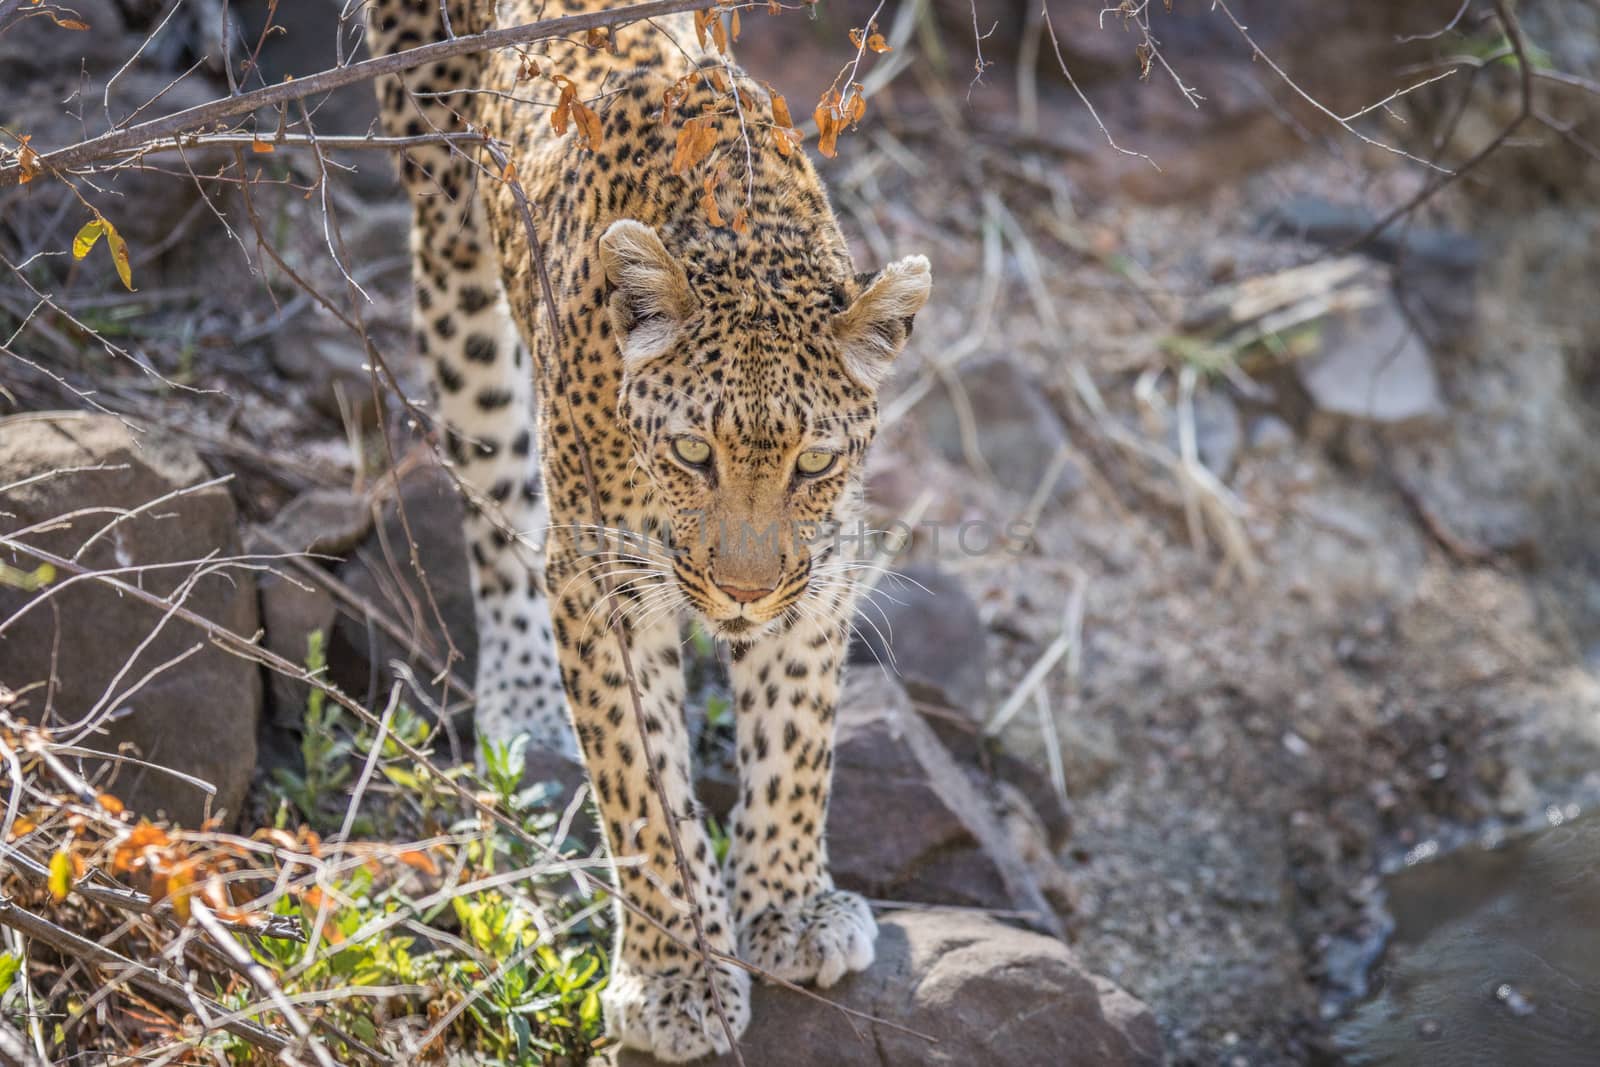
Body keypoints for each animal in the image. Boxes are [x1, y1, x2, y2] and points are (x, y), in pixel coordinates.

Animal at [358, 0, 934, 1062]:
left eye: (813, 464)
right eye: (694, 453)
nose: (744, 592)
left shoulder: (821, 569)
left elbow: (798, 738)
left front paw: (788, 908)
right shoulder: (605, 584)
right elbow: (642, 786)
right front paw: (677, 976)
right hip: (448, 222)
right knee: (493, 468)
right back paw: (522, 693)